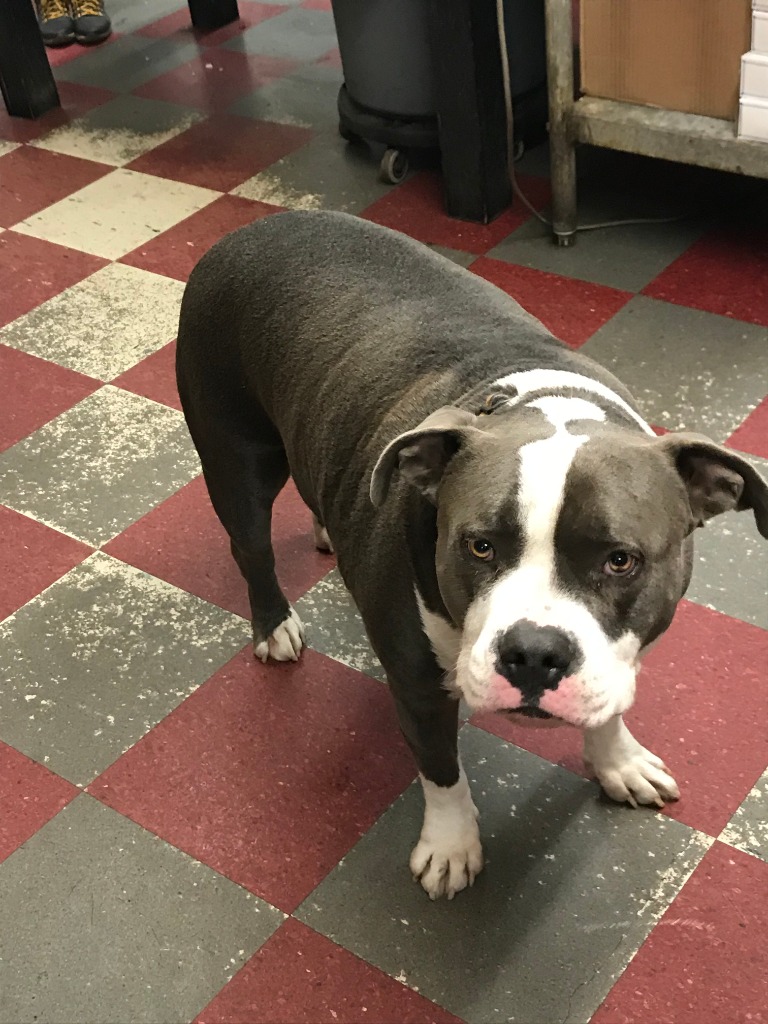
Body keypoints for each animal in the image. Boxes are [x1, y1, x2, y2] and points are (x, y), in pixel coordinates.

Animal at [176, 207, 768, 897]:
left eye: (620, 560)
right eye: (479, 547)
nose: (534, 654)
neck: (539, 405)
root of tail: (253, 228)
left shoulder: (620, 652)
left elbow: (609, 702)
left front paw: (617, 759)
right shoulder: (416, 685)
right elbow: (440, 770)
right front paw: (451, 845)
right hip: (237, 460)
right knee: (252, 548)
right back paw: (274, 624)